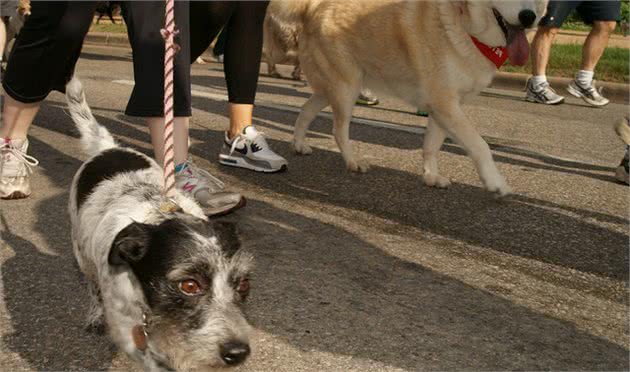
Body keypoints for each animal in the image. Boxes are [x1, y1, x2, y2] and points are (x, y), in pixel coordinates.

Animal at [66, 77, 254, 370]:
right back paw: (95, 314)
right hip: (81, 252)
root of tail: (108, 148)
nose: (238, 353)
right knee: (91, 284)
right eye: (189, 285)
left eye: (243, 284)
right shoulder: (131, 334)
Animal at [284, 0, 552, 196]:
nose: (528, 17)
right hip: (346, 89)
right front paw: (495, 181)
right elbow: (479, 145)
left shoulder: (443, 108)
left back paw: (299, 144)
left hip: (329, 90)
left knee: (305, 110)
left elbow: (431, 146)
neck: (463, 26)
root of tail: (314, 6)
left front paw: (431, 176)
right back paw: (353, 161)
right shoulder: (446, 105)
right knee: (339, 130)